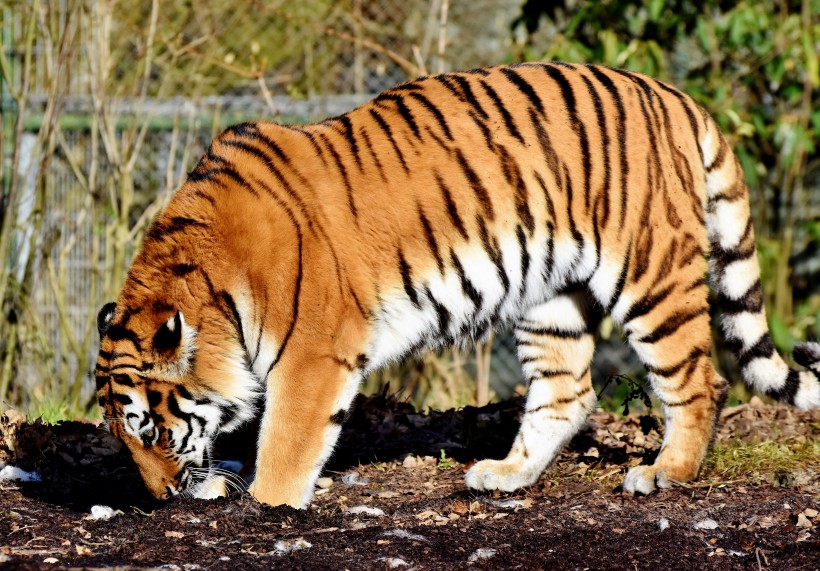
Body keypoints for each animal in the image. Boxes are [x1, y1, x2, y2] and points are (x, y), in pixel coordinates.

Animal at [96, 63, 820, 510]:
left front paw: (268, 502)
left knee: (700, 380)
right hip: (550, 297)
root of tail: (676, 97)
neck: (214, 288)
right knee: (568, 391)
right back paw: (506, 475)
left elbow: (286, 440)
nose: (158, 499)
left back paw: (665, 474)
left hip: (650, 274)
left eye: (150, 430)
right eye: (124, 437)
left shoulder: (312, 356)